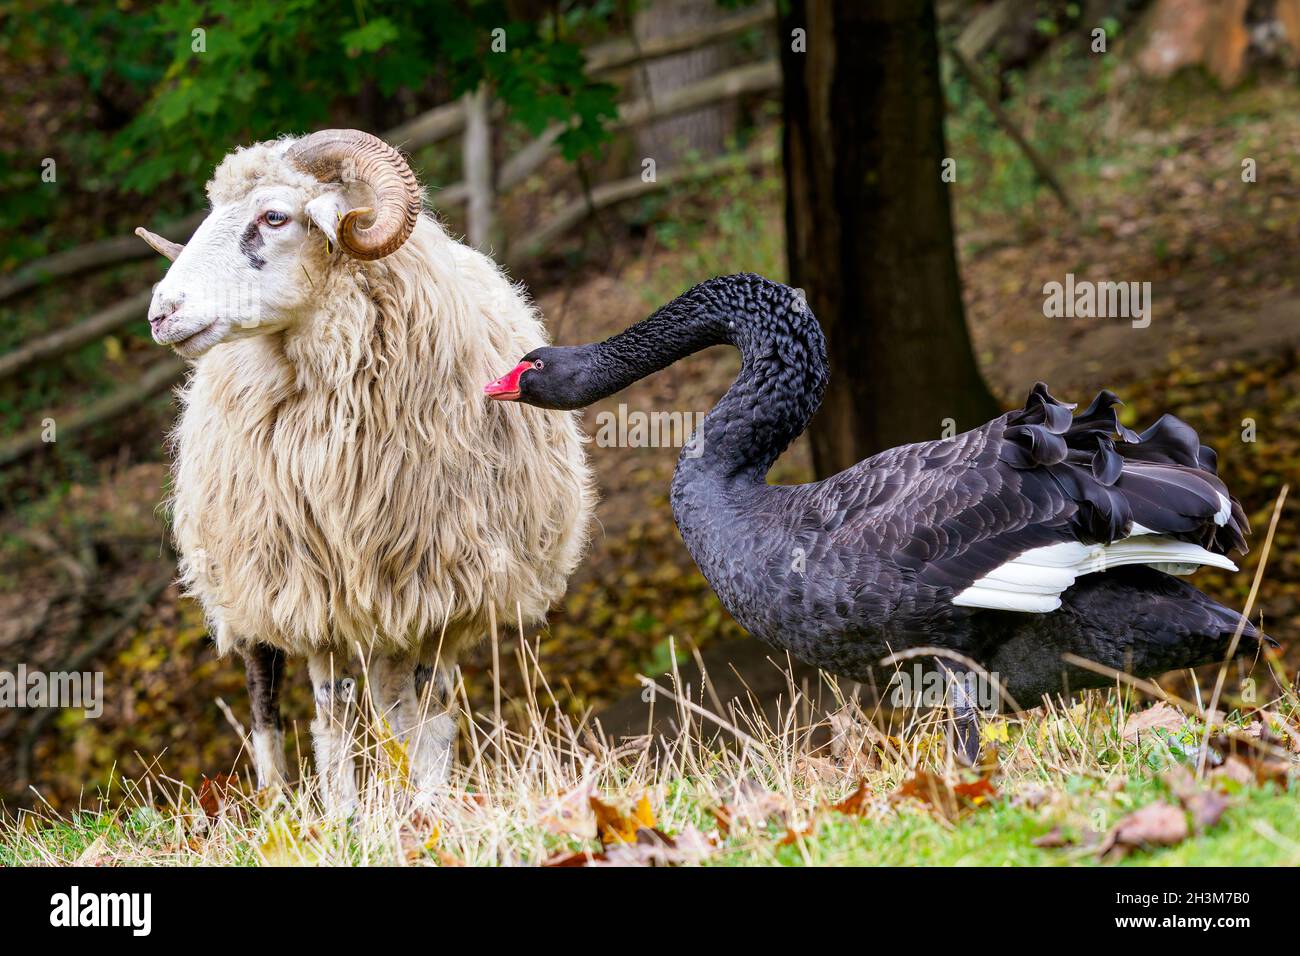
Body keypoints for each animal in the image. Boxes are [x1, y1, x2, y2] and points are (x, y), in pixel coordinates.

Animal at [137, 128, 595, 806]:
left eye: (275, 217)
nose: (161, 313)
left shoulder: (441, 596)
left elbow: (429, 715)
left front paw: (430, 810)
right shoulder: (308, 596)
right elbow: (332, 717)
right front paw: (344, 815)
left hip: (386, 608)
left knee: (394, 702)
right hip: (245, 584)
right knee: (265, 697)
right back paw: (278, 806)